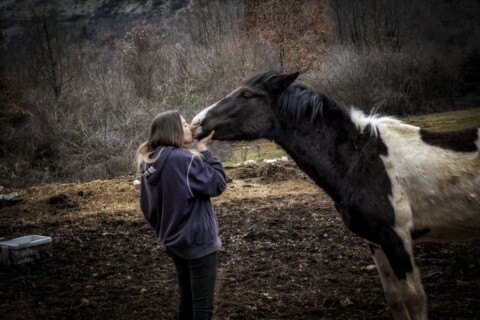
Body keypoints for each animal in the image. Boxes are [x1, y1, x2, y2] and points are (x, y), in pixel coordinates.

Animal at [192, 71, 480, 318]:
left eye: (246, 95)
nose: (196, 123)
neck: (361, 159)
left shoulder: (397, 237)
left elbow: (414, 299)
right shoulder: (376, 241)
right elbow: (395, 300)